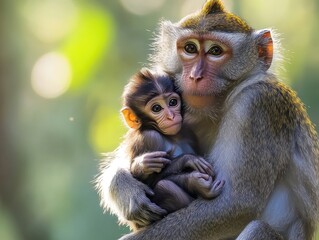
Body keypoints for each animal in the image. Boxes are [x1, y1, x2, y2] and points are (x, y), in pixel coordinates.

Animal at [120, 67, 225, 219]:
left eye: (173, 102)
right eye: (156, 108)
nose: (171, 116)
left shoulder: (187, 130)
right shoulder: (150, 138)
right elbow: (150, 185)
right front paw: (193, 175)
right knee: (164, 186)